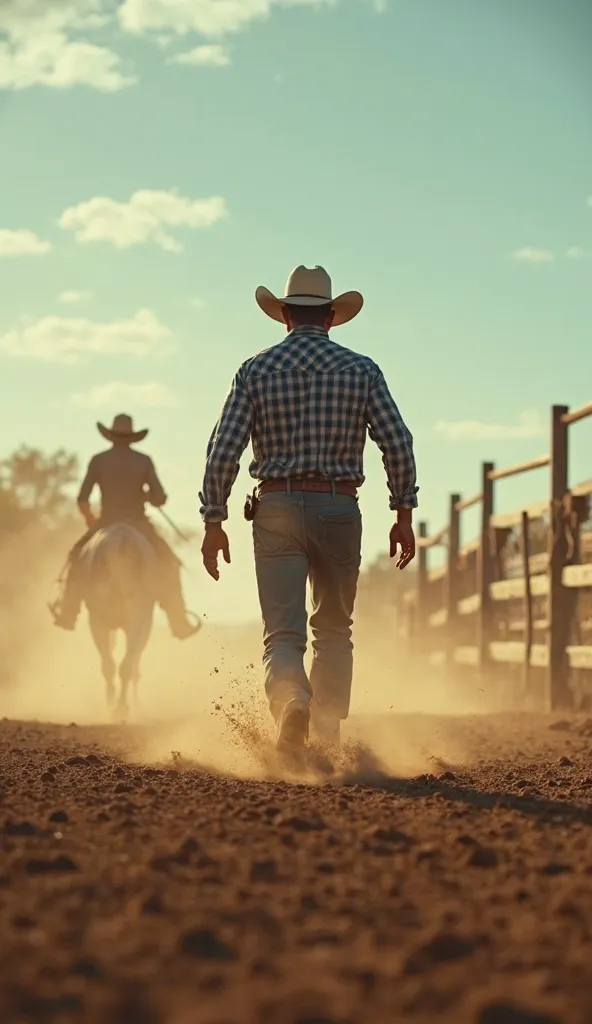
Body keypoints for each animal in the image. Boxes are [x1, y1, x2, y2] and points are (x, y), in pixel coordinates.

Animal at [80, 520, 159, 720]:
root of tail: (121, 543)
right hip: (130, 617)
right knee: (123, 664)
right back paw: (120, 707)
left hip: (113, 618)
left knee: (120, 664)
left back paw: (120, 707)